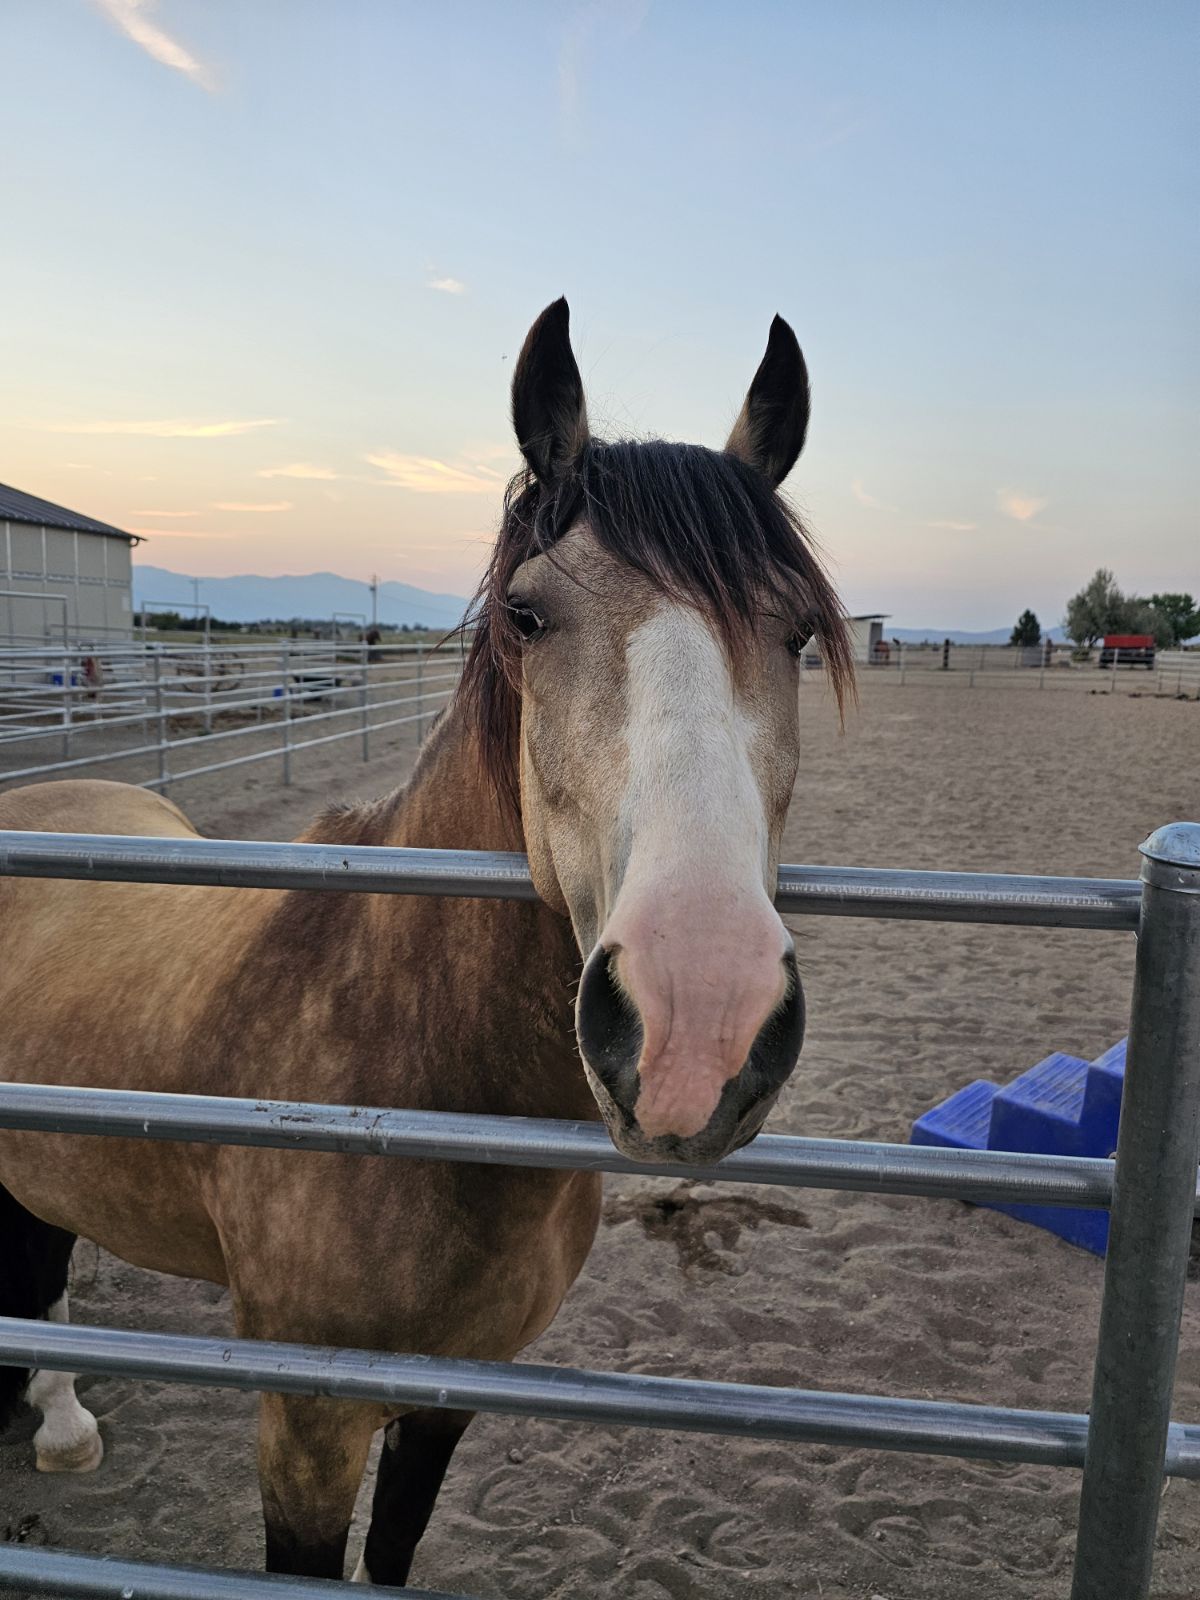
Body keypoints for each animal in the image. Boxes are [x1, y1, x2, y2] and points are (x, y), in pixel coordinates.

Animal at [0, 299, 852, 1586]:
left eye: (797, 629)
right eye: (527, 613)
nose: (698, 1020)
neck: (409, 1069)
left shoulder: (452, 1389)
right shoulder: (305, 1424)